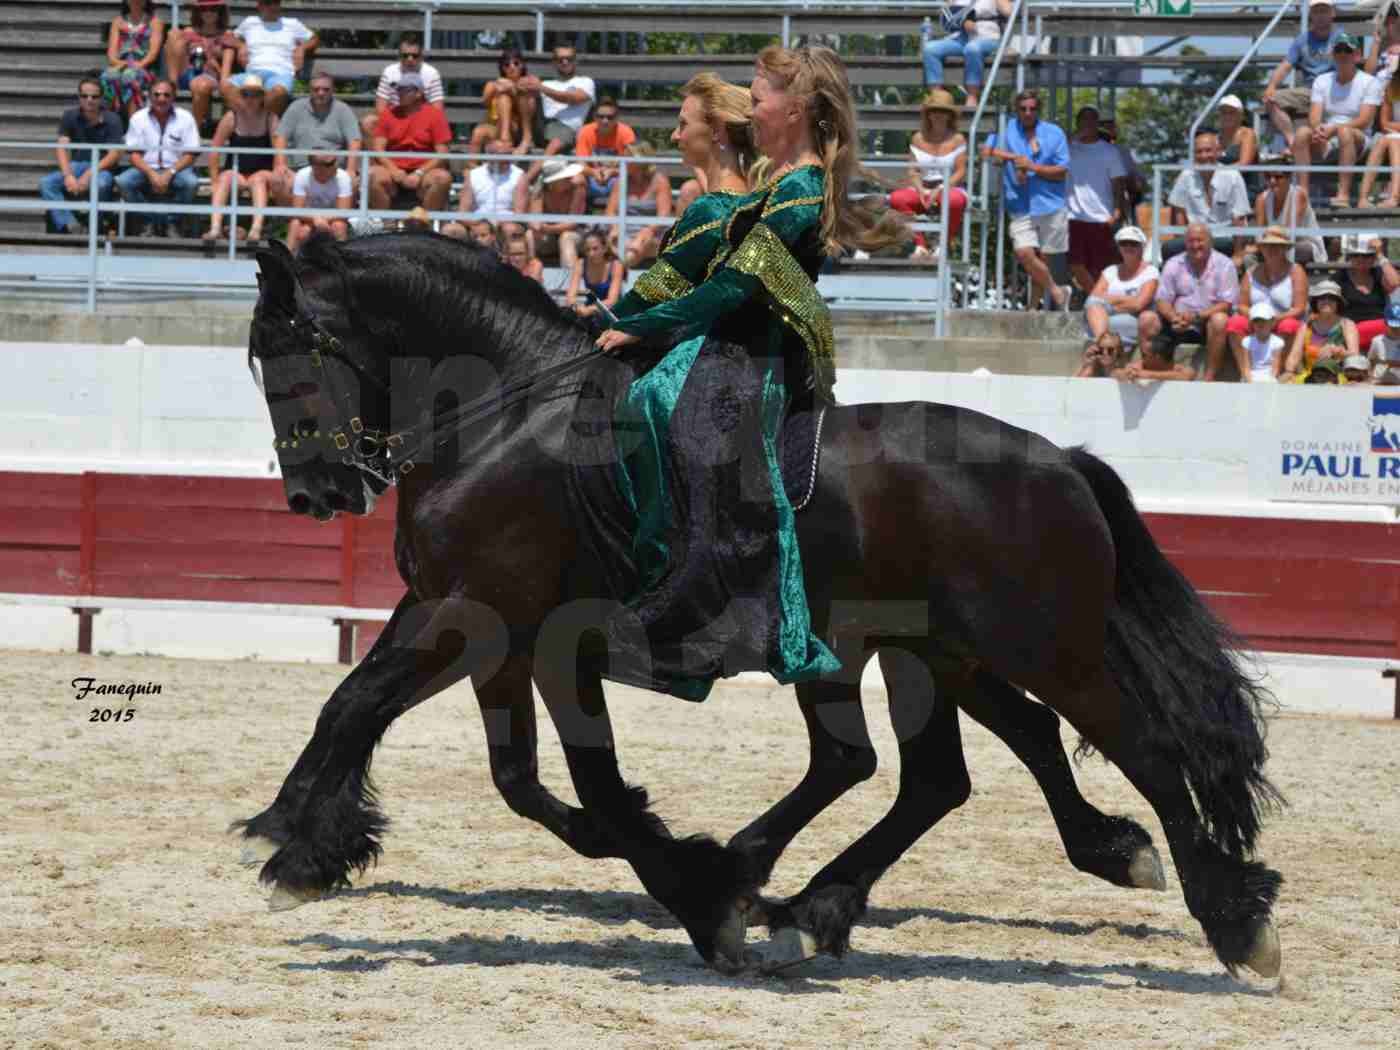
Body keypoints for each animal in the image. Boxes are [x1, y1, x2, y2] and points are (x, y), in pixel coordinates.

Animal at [235, 233, 1282, 985]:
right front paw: (308, 843)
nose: (314, 493)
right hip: (930, 655)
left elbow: (387, 714)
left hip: (1039, 650)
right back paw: (826, 901)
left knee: (1138, 751)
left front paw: (290, 837)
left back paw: (1235, 926)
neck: (509, 419)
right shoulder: (489, 630)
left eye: (284, 353)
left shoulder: (479, 617)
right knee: (938, 770)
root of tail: (1061, 459)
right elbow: (511, 773)